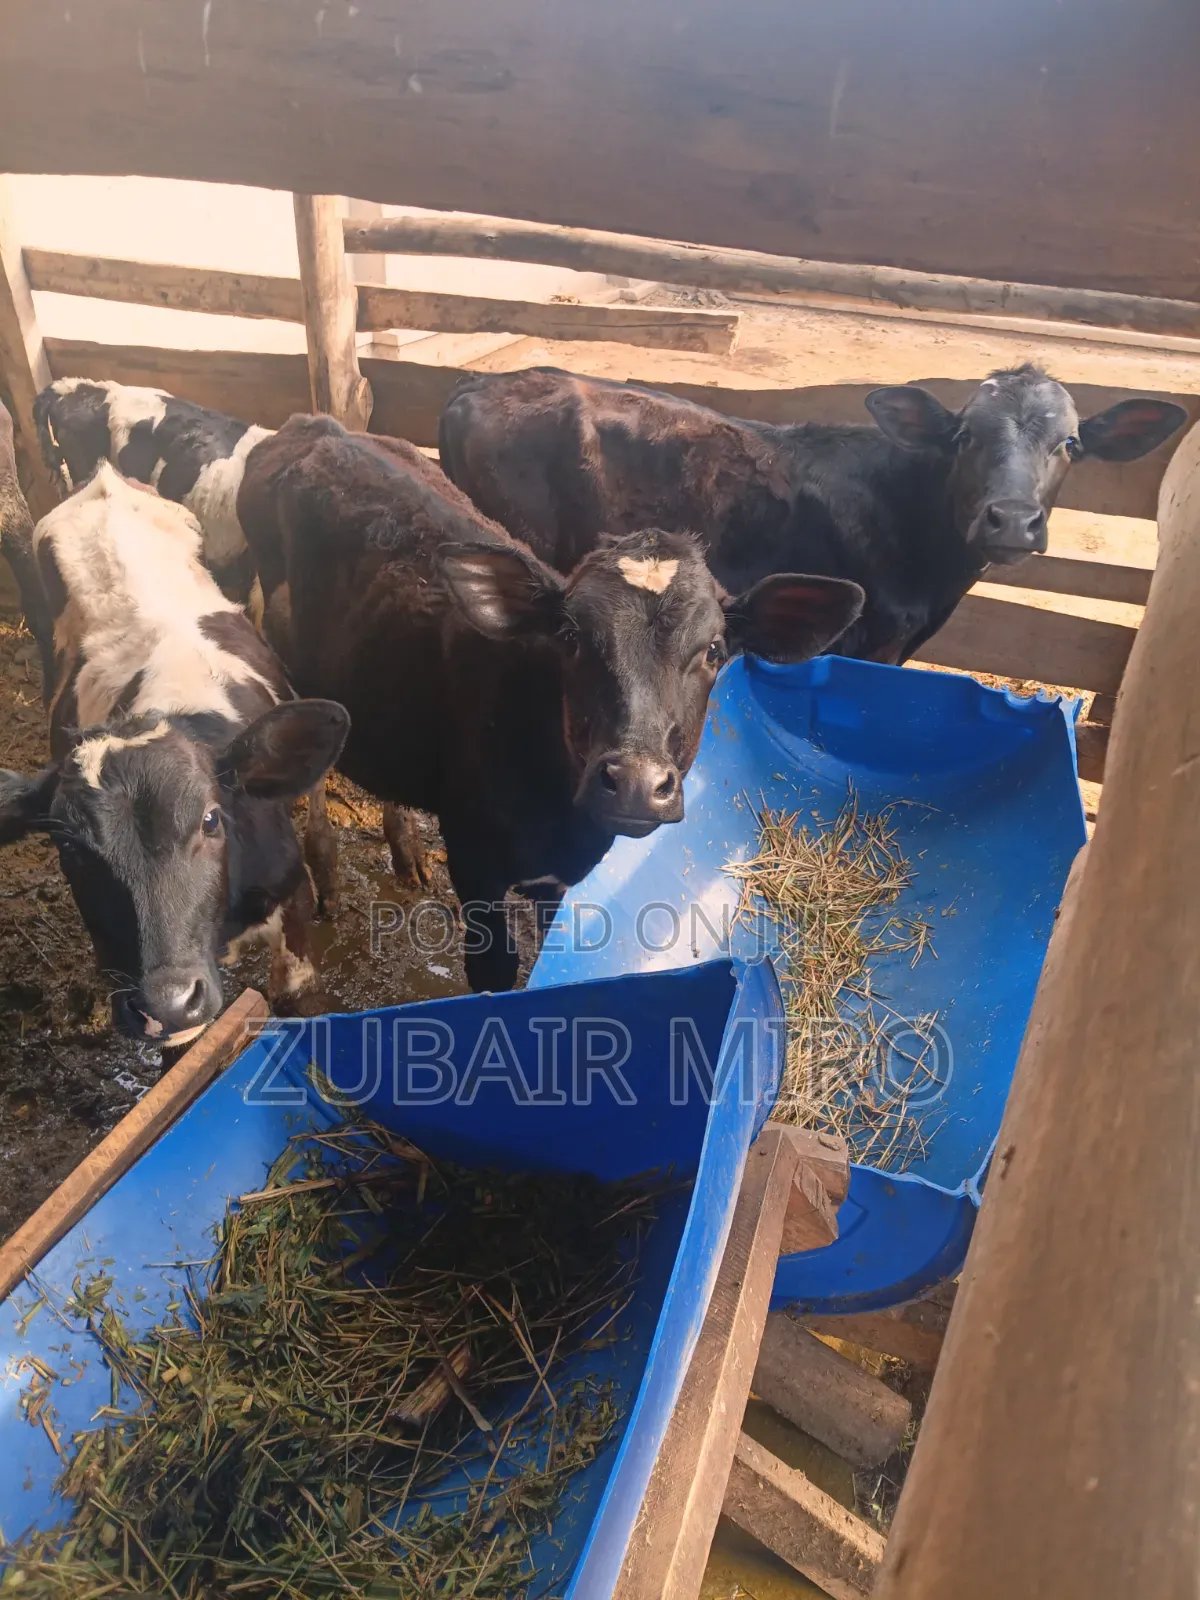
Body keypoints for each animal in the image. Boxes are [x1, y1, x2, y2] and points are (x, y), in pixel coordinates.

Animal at [236, 414, 864, 992]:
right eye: (571, 636)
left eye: (713, 650)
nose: (636, 783)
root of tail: (318, 424)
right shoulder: (474, 861)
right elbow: (496, 972)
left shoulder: (561, 879)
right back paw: (326, 869)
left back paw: (406, 848)